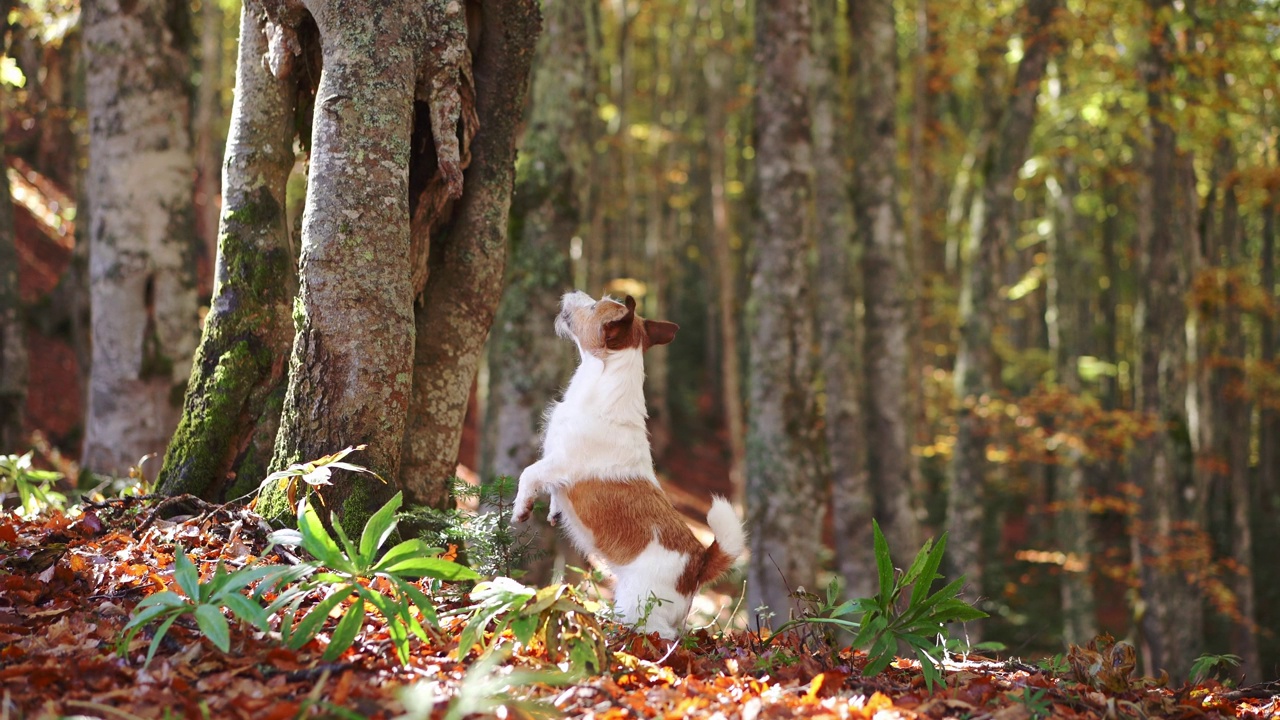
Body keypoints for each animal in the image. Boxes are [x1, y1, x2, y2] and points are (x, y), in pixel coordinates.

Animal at [512, 288, 747, 635]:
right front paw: (554, 510)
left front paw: (521, 508)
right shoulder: (555, 465)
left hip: (638, 605)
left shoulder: (560, 461)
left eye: (594, 307)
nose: (573, 291)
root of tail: (697, 564)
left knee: (663, 633)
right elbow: (551, 487)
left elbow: (528, 474)